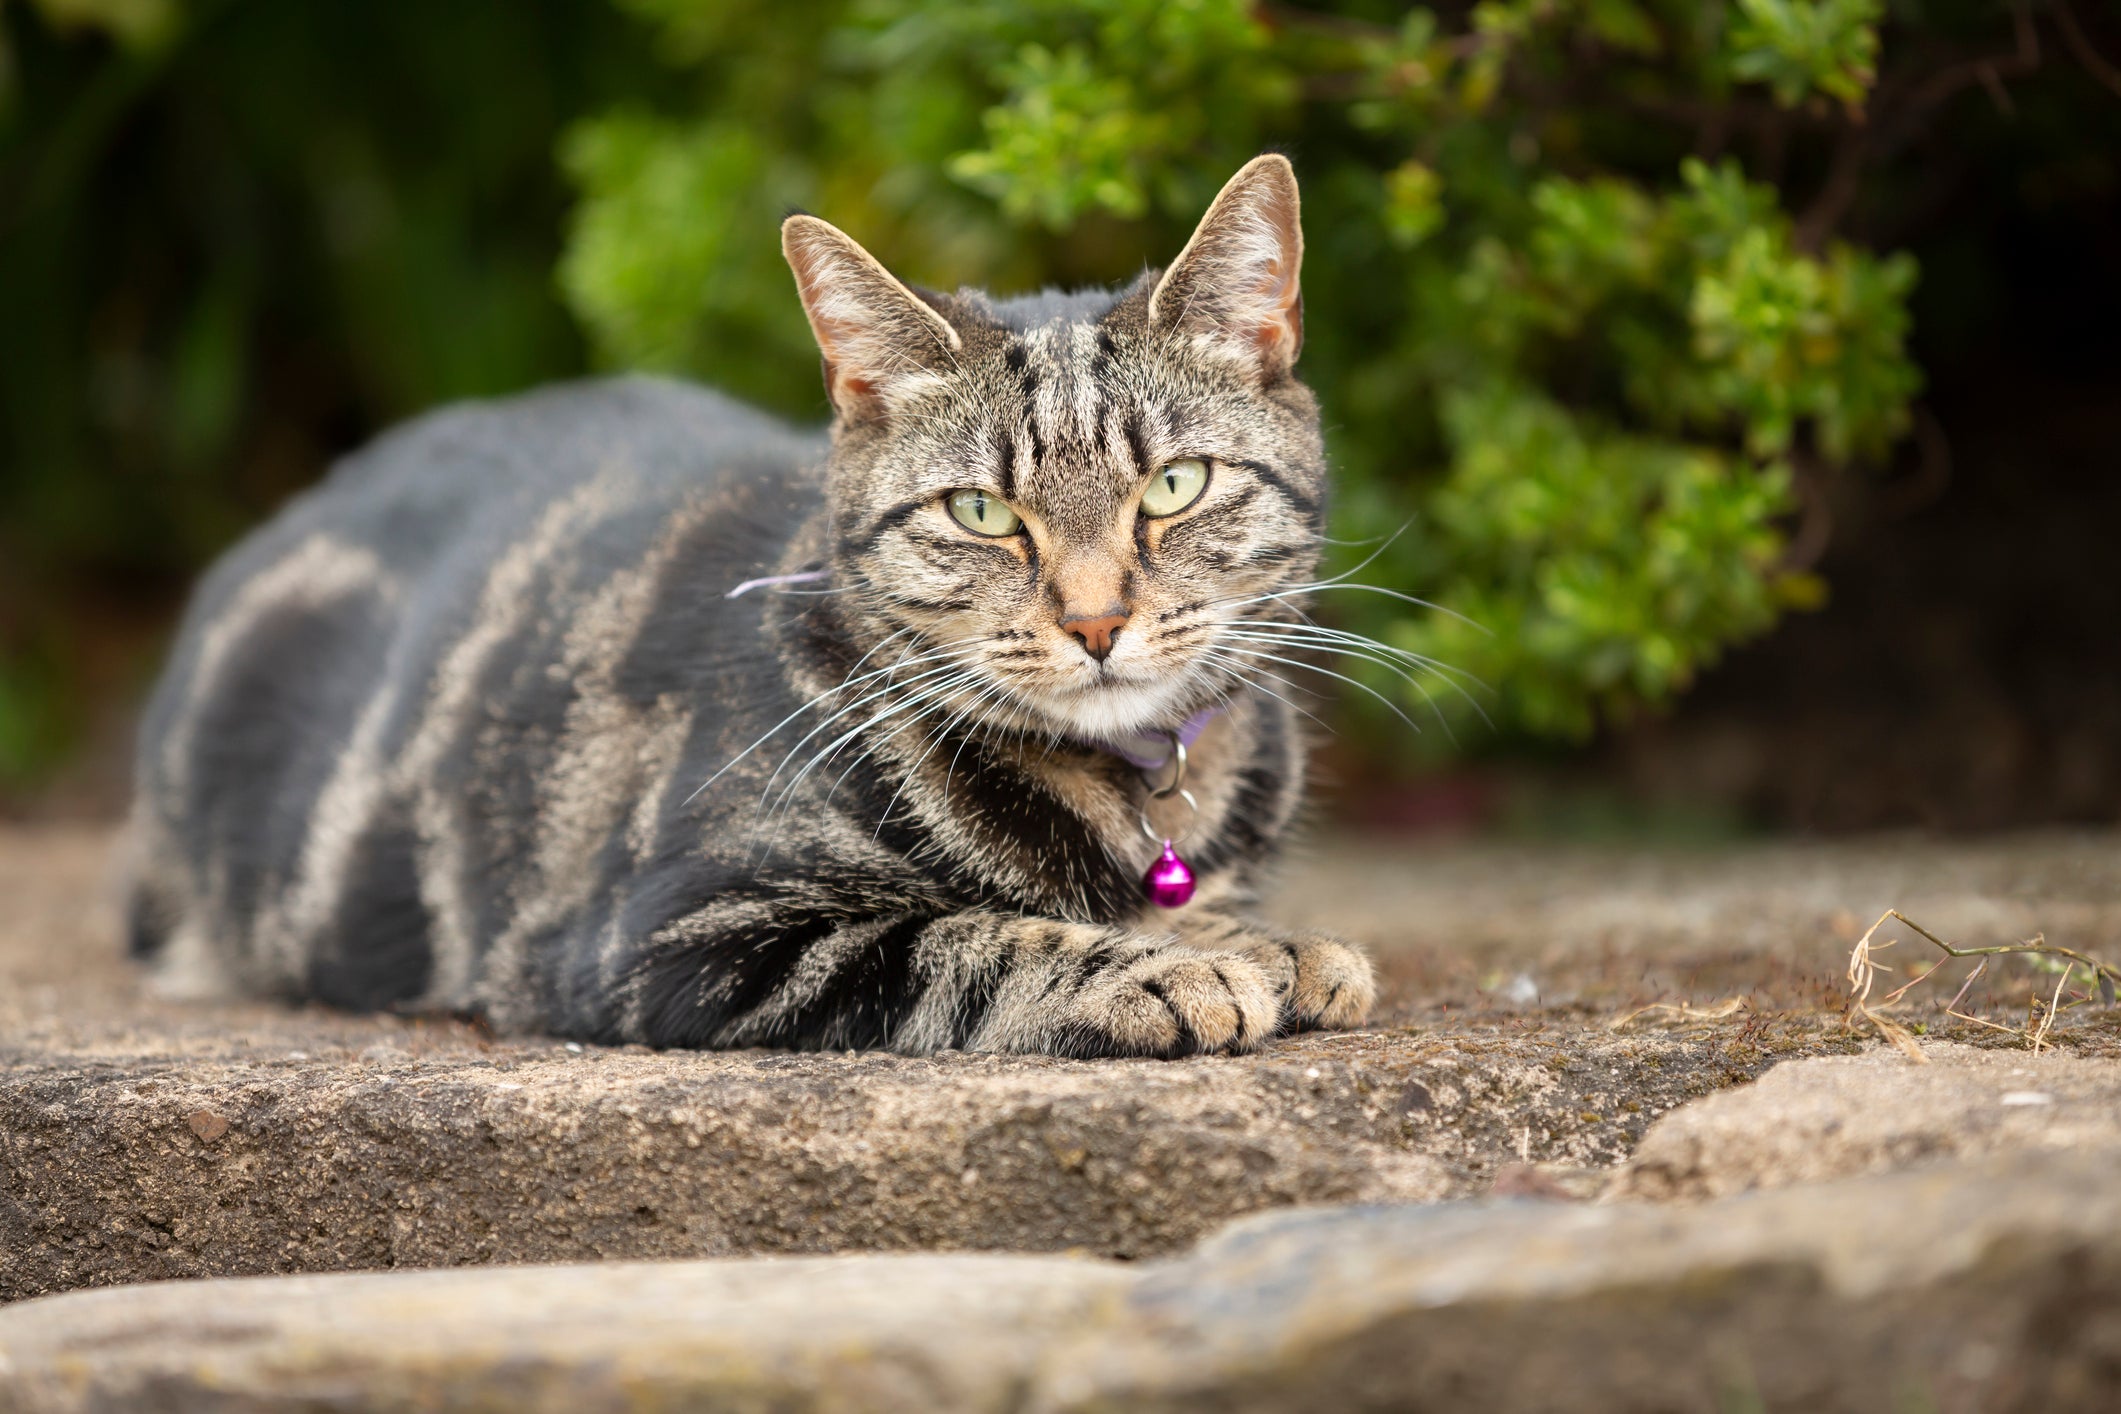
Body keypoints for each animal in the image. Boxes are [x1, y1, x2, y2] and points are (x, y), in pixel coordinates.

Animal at [124, 157, 1374, 1059]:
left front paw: (1266, 939)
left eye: (1173, 486)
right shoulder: (680, 936)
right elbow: (977, 938)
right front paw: (1173, 961)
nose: (1097, 621)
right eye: (980, 511)